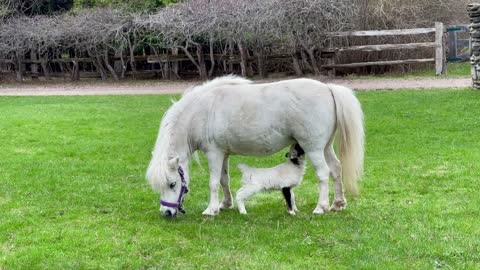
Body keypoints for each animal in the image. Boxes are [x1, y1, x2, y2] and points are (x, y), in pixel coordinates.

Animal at [146, 75, 364, 217]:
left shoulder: (214, 153)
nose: (166, 212)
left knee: (323, 173)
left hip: (313, 148)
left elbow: (213, 182)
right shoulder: (224, 153)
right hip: (325, 147)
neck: (201, 112)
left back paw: (321, 206)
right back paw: (338, 203)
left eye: (172, 183)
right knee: (336, 169)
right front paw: (226, 204)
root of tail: (328, 88)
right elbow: (224, 180)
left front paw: (211, 209)